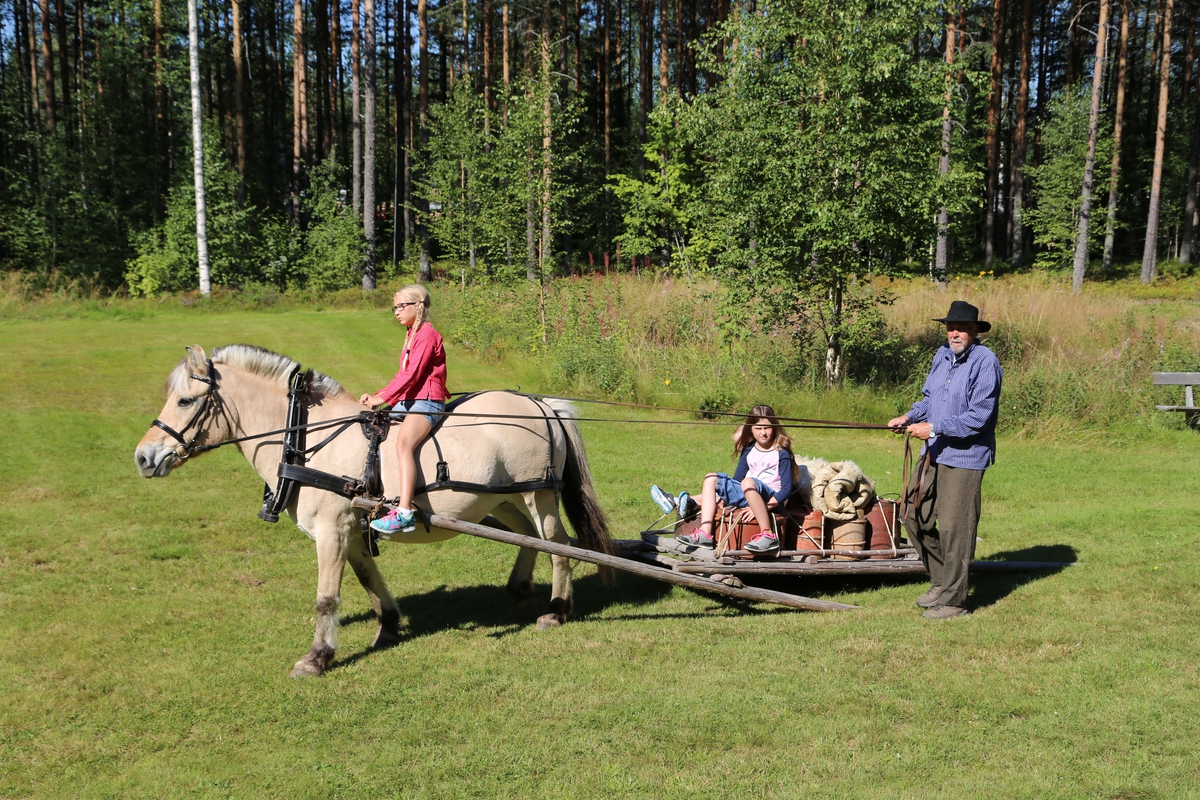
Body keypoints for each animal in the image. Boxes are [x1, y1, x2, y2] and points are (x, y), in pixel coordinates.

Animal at [136, 347, 614, 681]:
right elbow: (368, 580)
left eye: (184, 401)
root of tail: (543, 404)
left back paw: (556, 610)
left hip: (538, 495)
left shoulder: (330, 529)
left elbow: (326, 597)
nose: (143, 457)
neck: (307, 440)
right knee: (529, 540)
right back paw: (520, 589)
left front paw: (316, 658)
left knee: (559, 546)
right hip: (501, 499)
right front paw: (388, 626)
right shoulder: (349, 528)